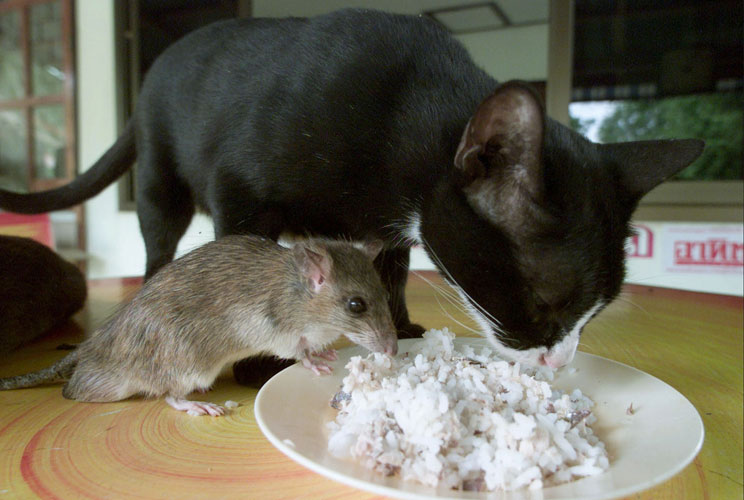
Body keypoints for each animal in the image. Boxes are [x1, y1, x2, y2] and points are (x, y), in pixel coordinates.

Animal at [0, 9, 704, 370]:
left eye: (597, 312)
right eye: (547, 301)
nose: (558, 360)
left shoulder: (389, 231)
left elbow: (389, 271)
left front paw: (402, 324)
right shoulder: (240, 189)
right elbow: (248, 264)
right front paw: (261, 357)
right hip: (160, 183)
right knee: (158, 244)